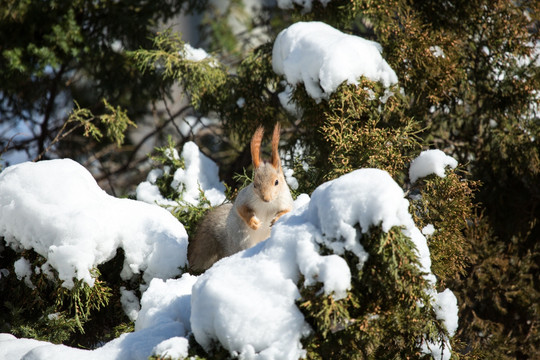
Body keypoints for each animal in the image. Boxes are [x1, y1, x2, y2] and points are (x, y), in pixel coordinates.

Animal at [188, 124, 294, 272]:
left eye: (277, 182)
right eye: (254, 184)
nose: (266, 198)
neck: (267, 205)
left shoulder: (286, 200)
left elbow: (287, 211)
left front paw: (275, 219)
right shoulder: (245, 198)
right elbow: (241, 209)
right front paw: (254, 223)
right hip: (243, 239)